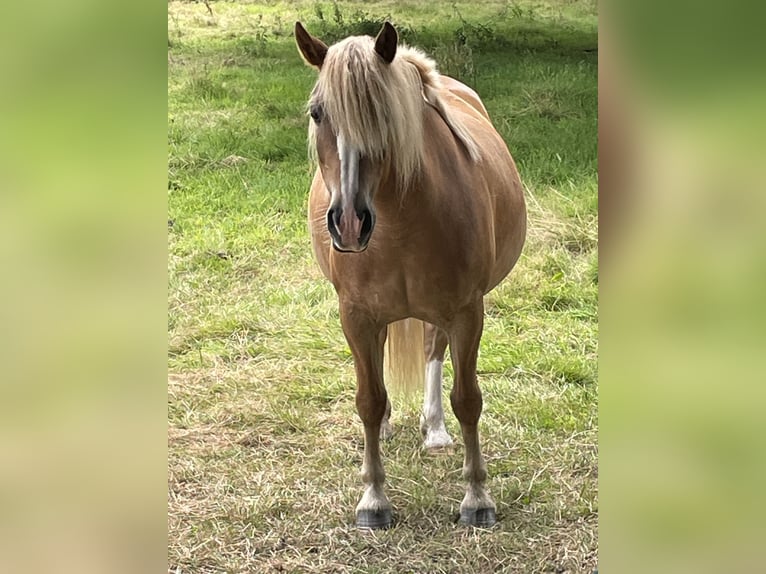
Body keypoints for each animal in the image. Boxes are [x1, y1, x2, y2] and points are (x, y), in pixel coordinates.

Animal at [296, 19, 528, 532]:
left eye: (384, 115)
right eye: (318, 113)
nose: (348, 223)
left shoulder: (467, 311)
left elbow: (468, 399)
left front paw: (477, 498)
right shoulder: (356, 315)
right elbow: (368, 398)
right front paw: (373, 499)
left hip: (443, 314)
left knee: (432, 352)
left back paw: (435, 428)